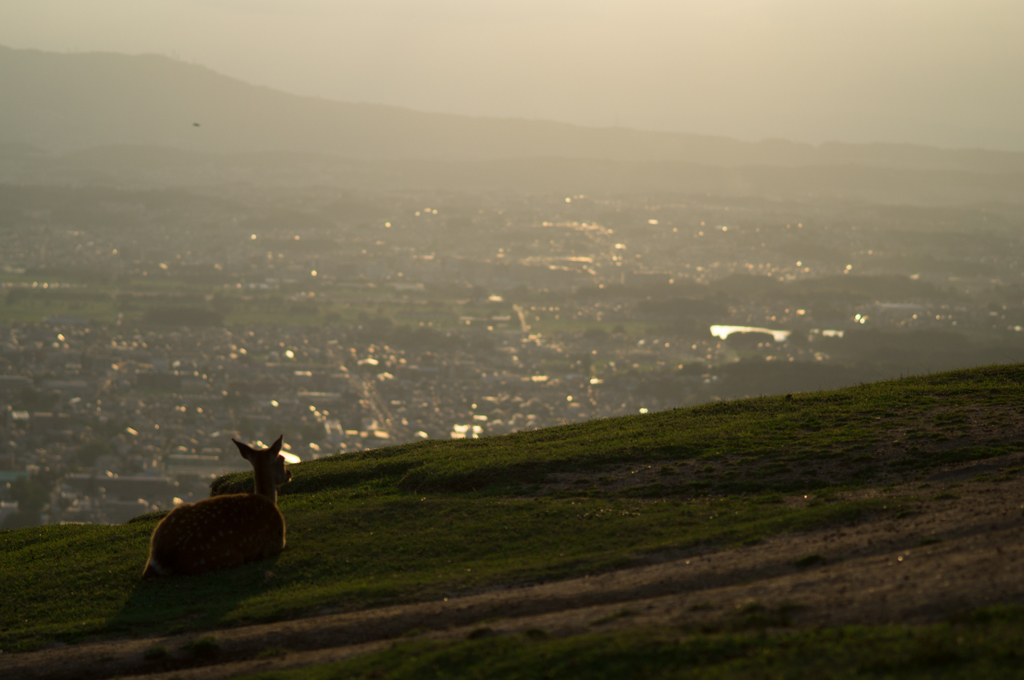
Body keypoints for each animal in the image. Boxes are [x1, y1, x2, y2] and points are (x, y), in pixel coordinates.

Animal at [142, 436, 292, 577]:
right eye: (282, 458)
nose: (289, 473)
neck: (268, 499)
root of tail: (162, 560)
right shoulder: (276, 542)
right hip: (225, 557)